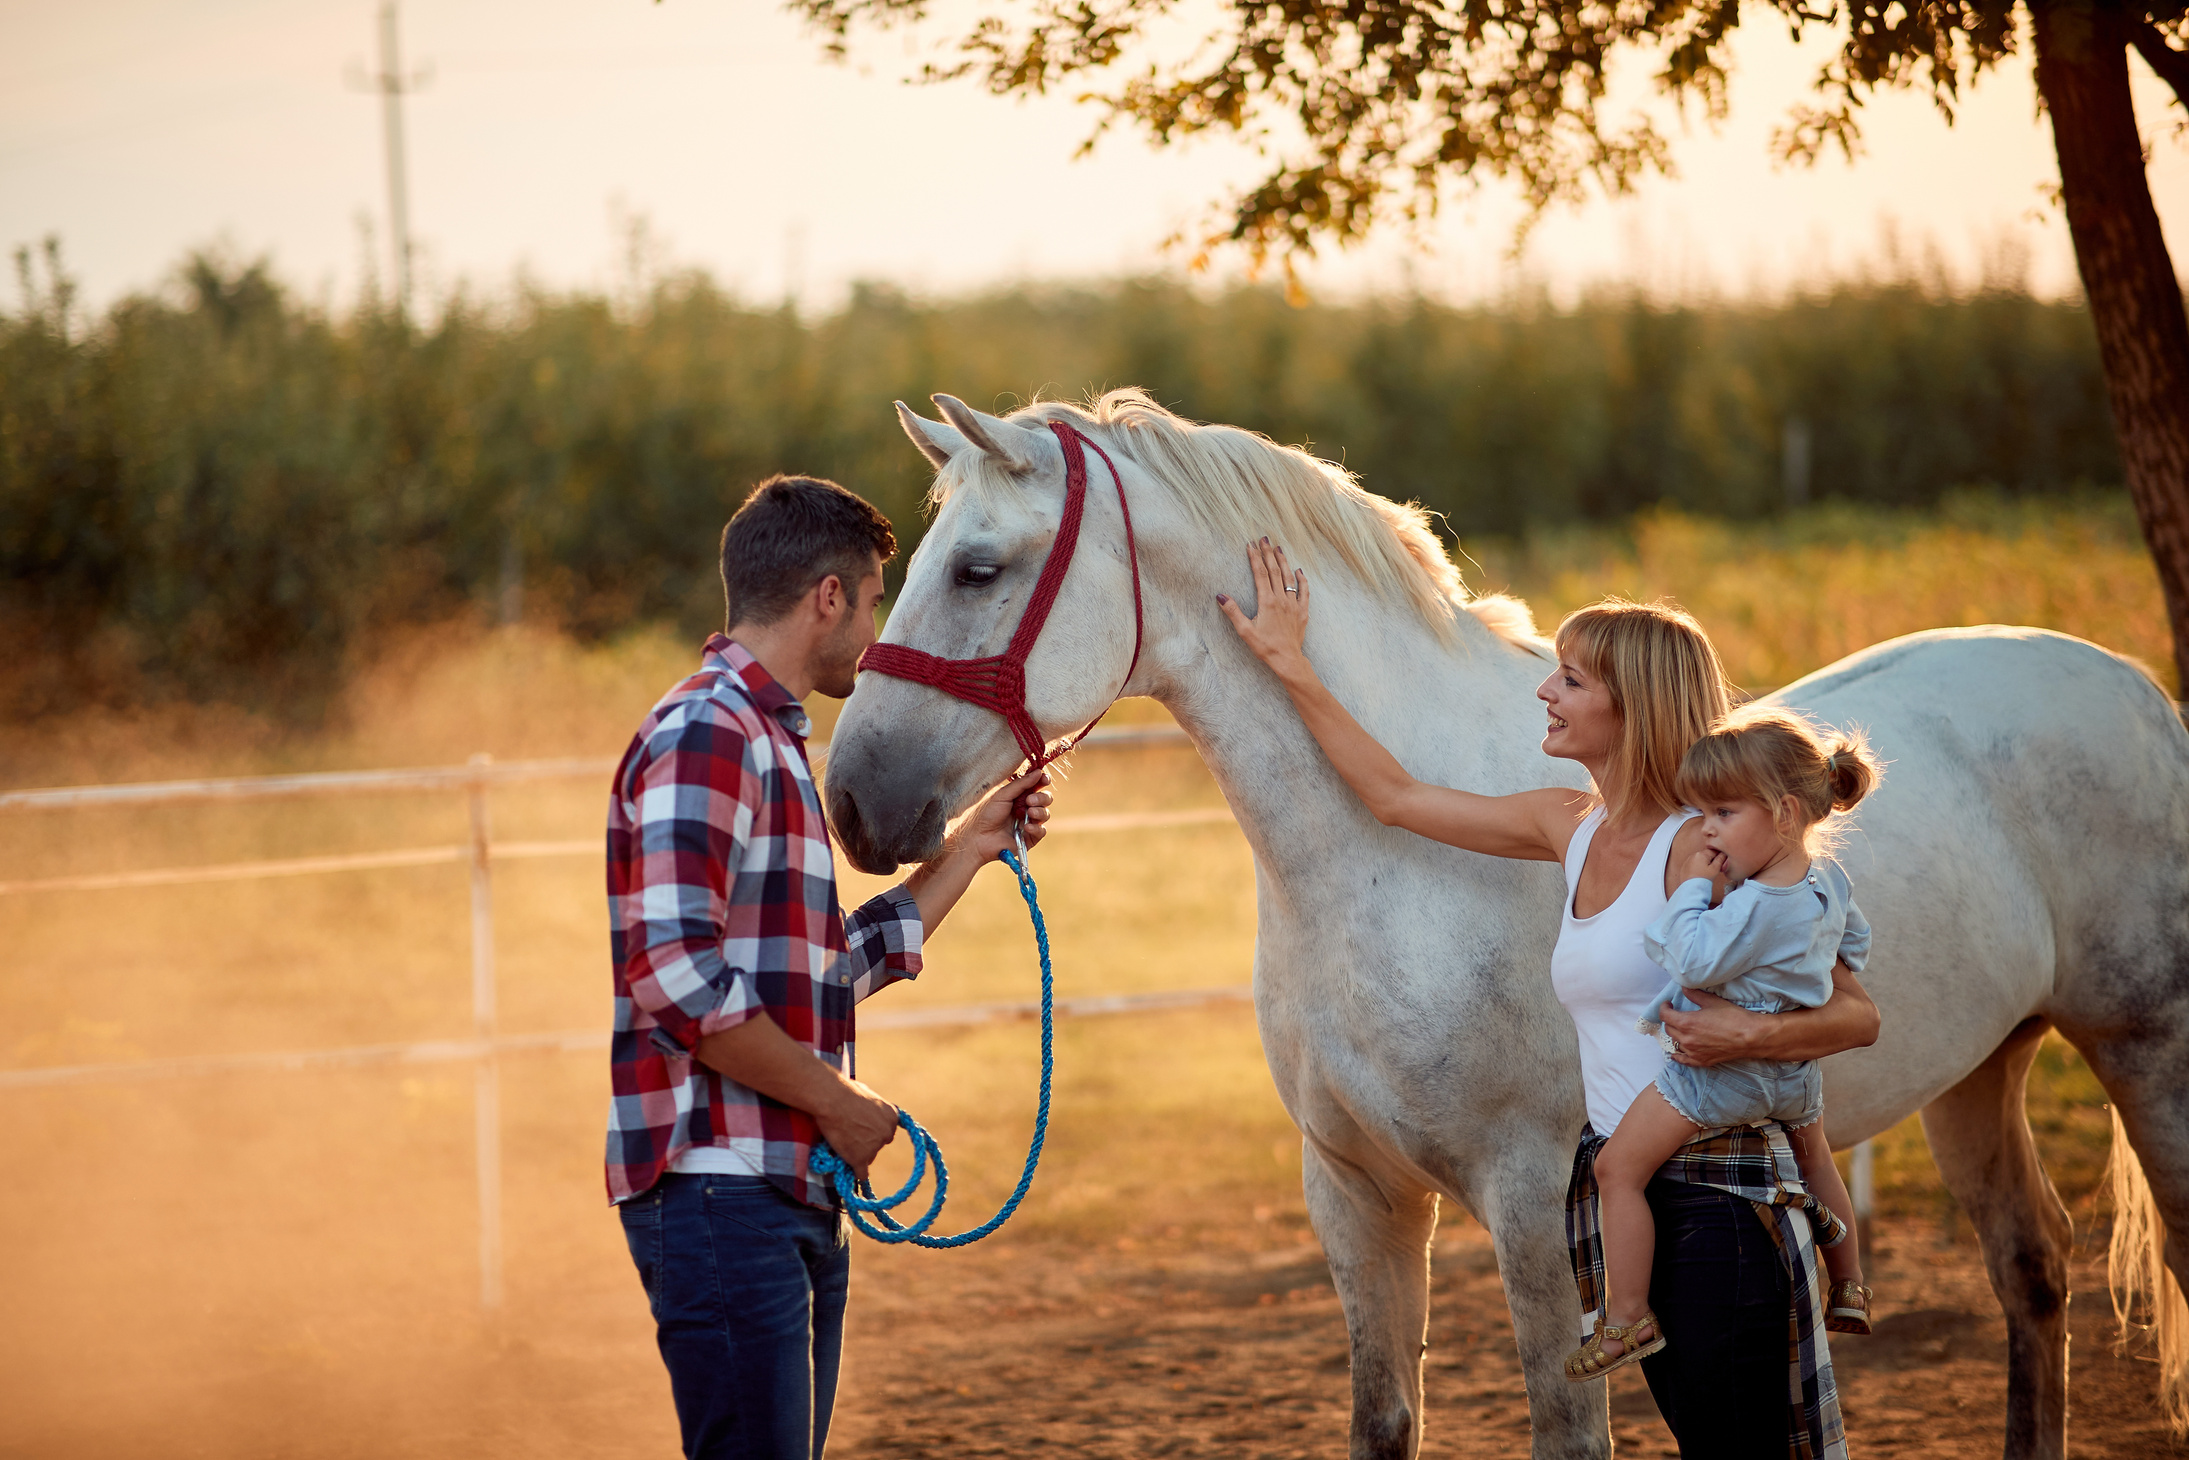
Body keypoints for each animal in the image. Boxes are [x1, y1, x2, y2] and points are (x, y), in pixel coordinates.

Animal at [821, 388, 2189, 1460]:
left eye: (978, 567)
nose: (856, 802)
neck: (1387, 865)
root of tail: (2136, 688)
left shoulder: (1538, 1204)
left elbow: (1565, 1428)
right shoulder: (1353, 1193)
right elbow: (1382, 1419)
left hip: (2143, 1048)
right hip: (1979, 1064)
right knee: (2033, 1266)